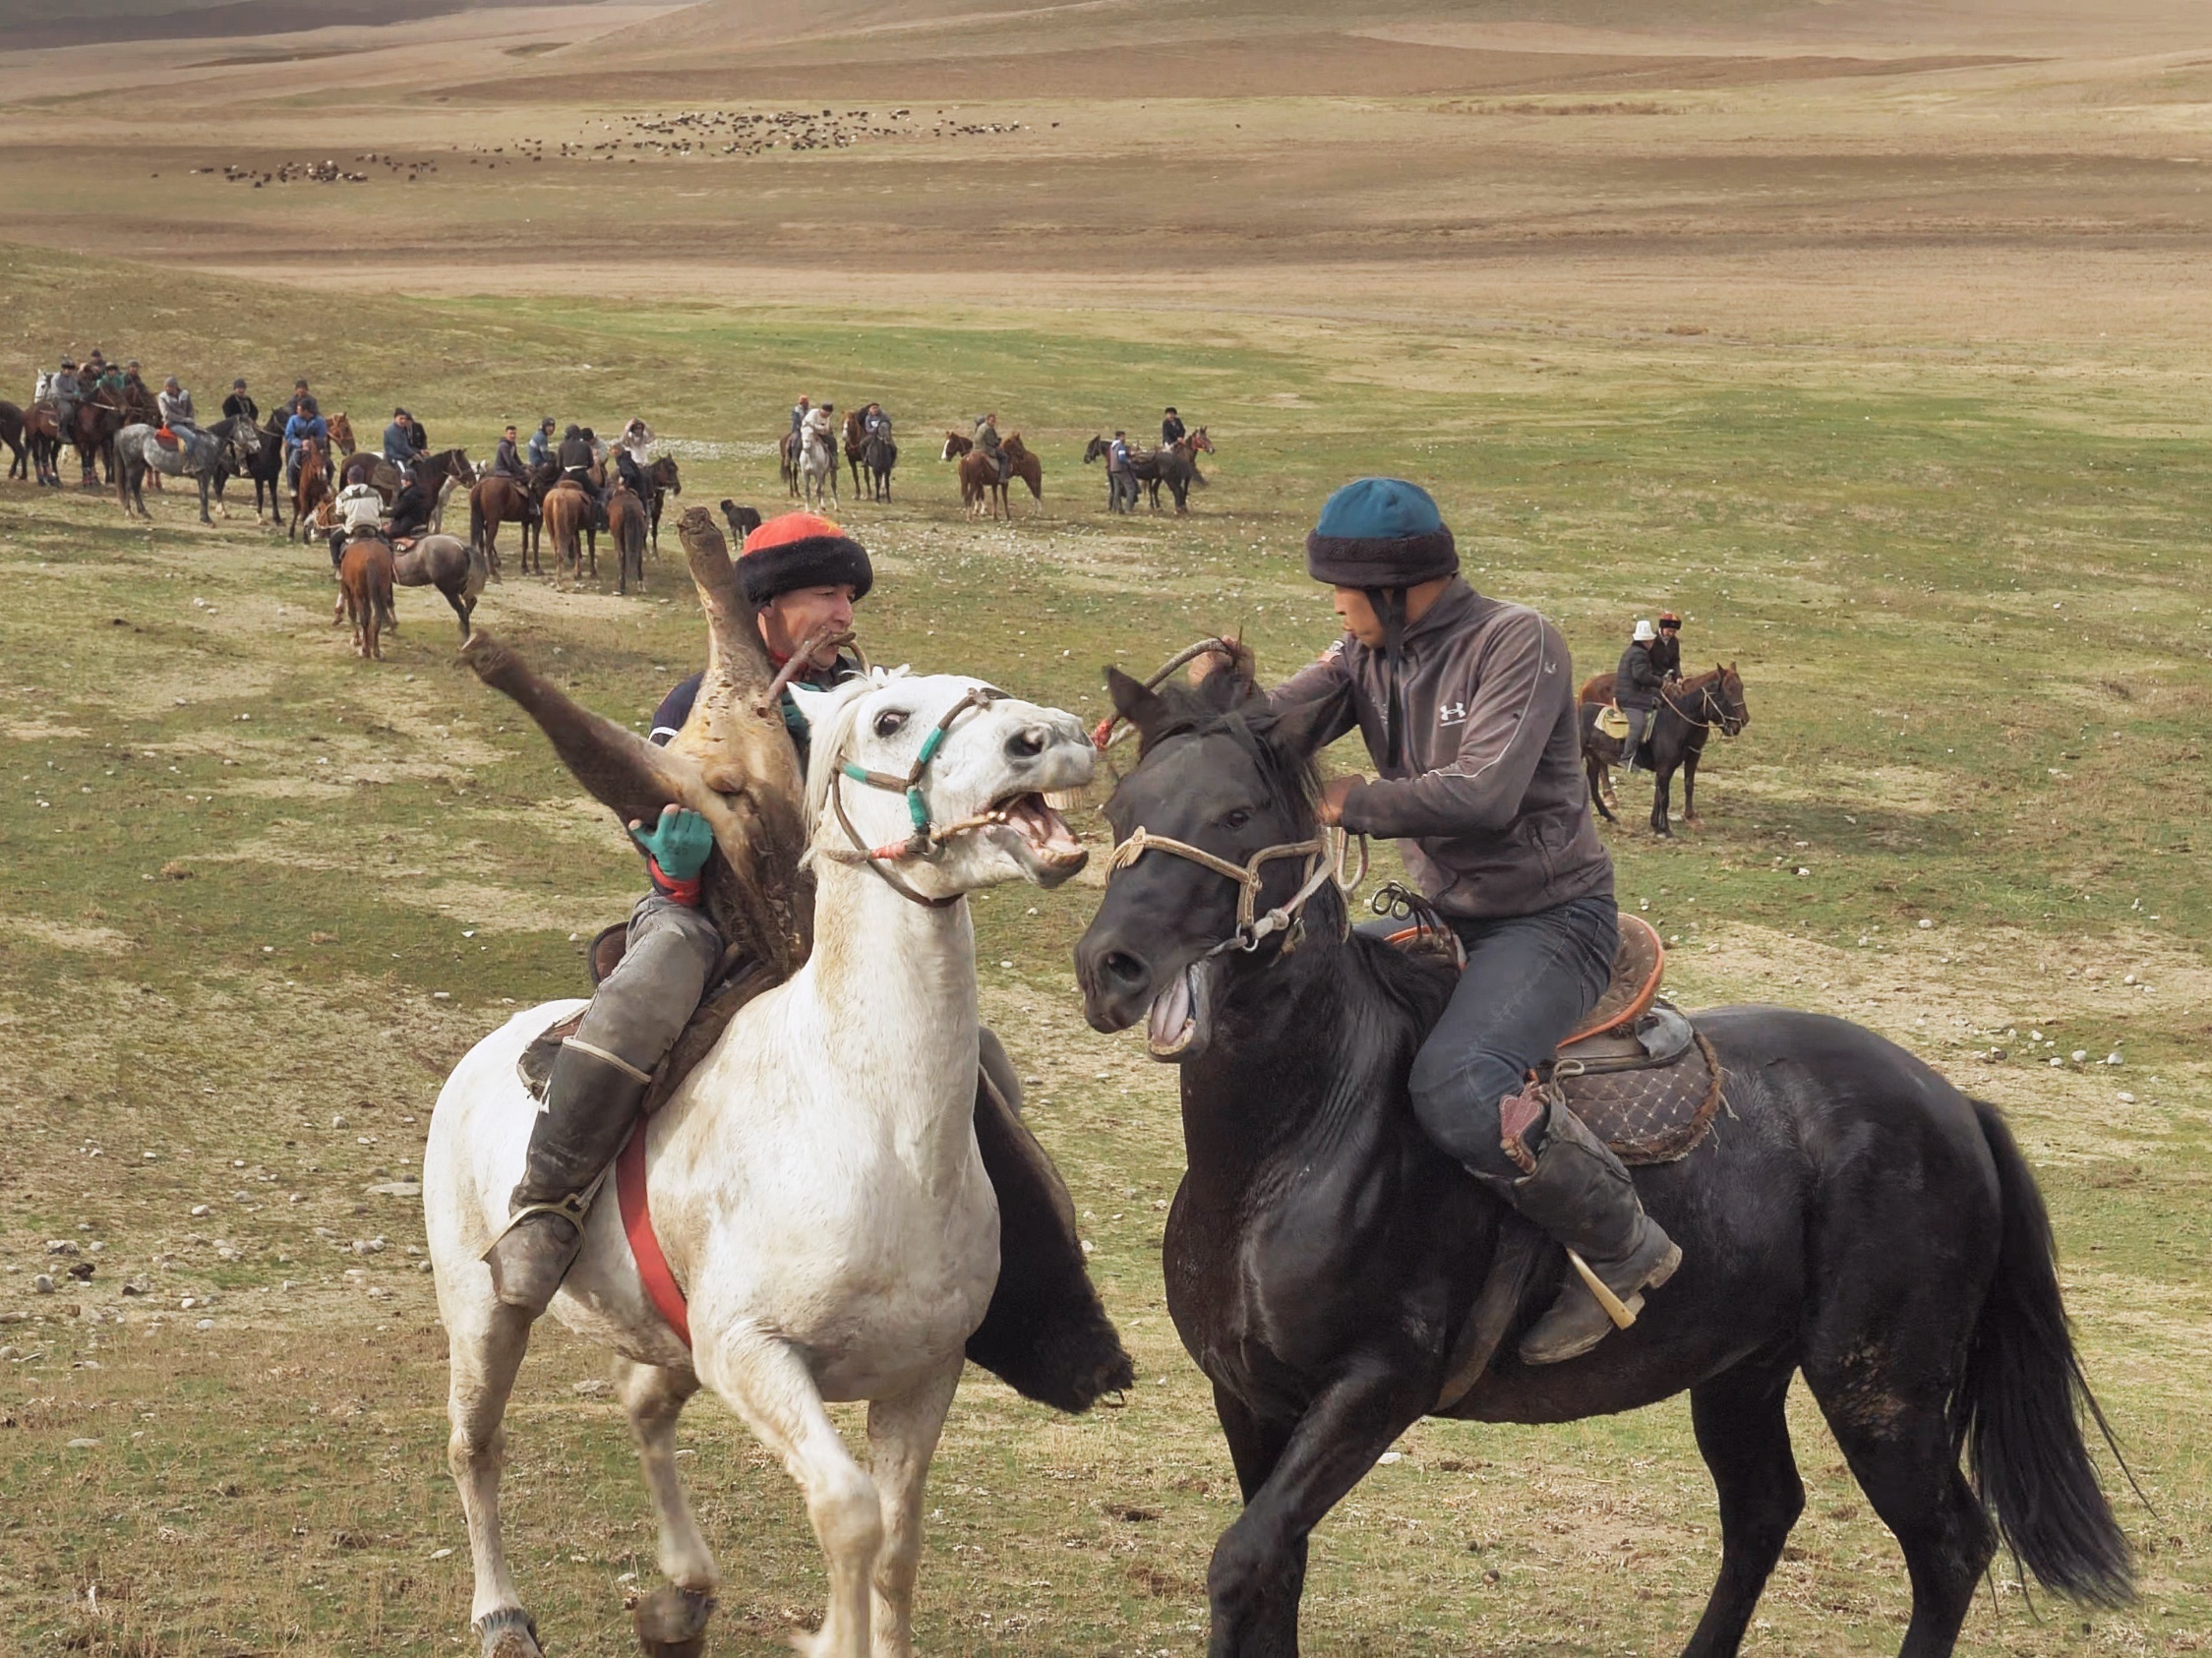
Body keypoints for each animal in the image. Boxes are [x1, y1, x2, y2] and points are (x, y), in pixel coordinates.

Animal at [116, 413, 265, 521]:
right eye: (246, 429)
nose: (258, 447)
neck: (209, 443)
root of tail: (123, 431)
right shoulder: (204, 475)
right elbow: (204, 496)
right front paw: (206, 519)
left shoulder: (204, 476)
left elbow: (203, 495)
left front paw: (204, 517)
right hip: (132, 466)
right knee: (129, 486)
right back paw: (129, 512)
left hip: (141, 466)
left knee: (136, 487)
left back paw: (144, 512)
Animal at [418, 676, 1093, 1658]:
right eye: (889, 719)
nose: (1056, 739)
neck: (874, 1131)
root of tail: (485, 1050)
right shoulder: (752, 1354)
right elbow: (849, 1514)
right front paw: (830, 1638)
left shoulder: (925, 1375)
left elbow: (897, 1550)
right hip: (483, 1309)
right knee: (476, 1445)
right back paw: (503, 1614)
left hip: (663, 1337)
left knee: (642, 1402)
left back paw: (681, 1588)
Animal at [1584, 663, 1752, 835]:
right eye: (1726, 694)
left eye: (1741, 687)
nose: (1740, 723)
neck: (1674, 722)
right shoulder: (1665, 767)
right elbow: (1665, 797)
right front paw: (1665, 828)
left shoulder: (1686, 758)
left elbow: (1672, 789)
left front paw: (1657, 824)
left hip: (1592, 757)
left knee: (1593, 786)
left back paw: (1609, 815)